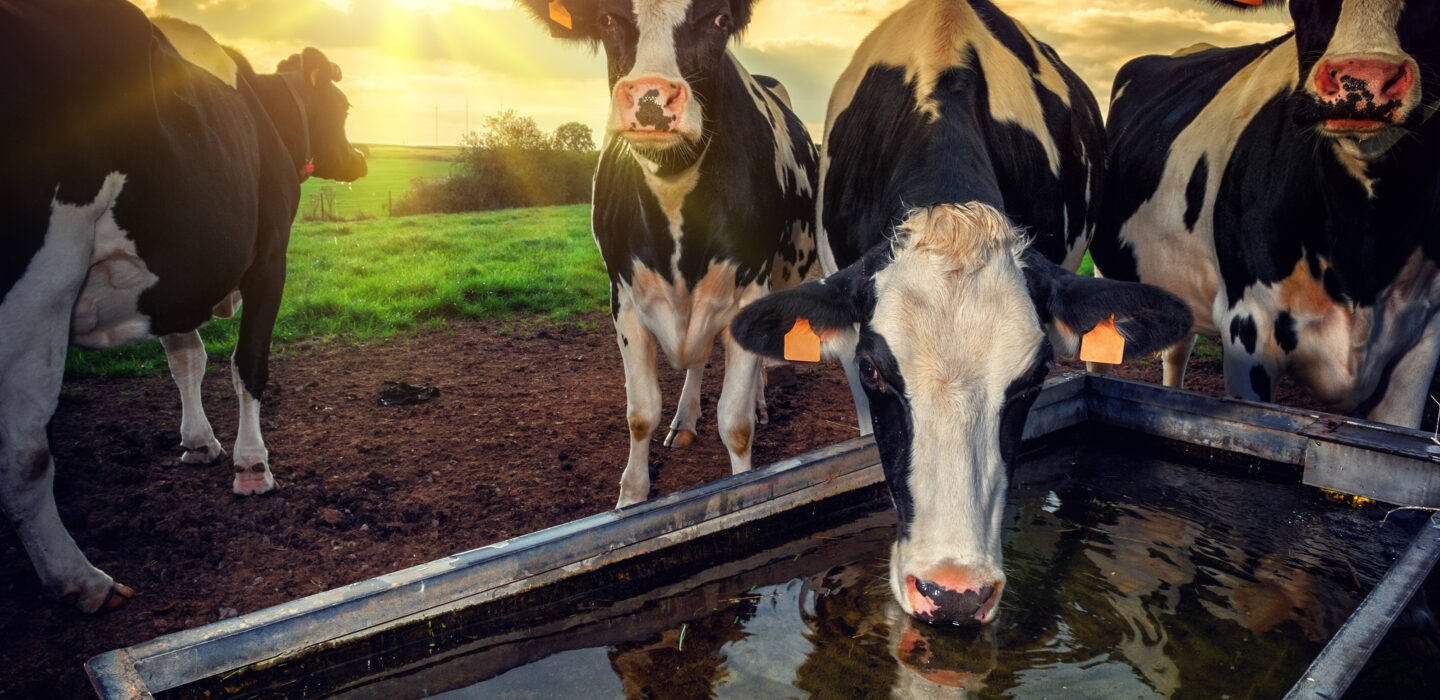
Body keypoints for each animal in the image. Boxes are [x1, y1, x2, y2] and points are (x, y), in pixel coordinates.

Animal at [0, 0, 365, 610]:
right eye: (341, 108)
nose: (361, 159)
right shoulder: (269, 257)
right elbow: (249, 365)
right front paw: (251, 466)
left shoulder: (176, 276)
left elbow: (186, 359)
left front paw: (199, 443)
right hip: (40, 285)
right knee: (24, 454)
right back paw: (84, 581)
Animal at [515, 0, 823, 504]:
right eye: (607, 20)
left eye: (719, 19)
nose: (651, 97)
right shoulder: (624, 296)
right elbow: (641, 413)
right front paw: (631, 497)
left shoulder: (750, 289)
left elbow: (735, 423)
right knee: (695, 362)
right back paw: (685, 419)